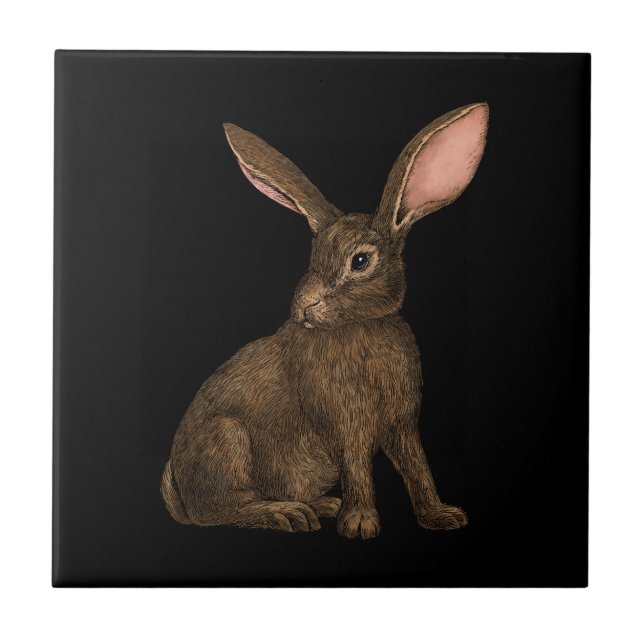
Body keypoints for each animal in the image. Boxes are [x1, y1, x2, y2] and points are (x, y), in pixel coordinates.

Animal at [161, 102, 489, 538]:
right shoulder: (345, 420)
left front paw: (442, 516)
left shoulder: (402, 423)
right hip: (226, 442)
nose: (303, 307)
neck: (359, 325)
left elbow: (417, 466)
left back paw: (321, 505)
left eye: (360, 261)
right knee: (222, 512)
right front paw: (361, 524)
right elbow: (357, 466)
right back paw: (285, 514)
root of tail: (181, 496)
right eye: (313, 255)